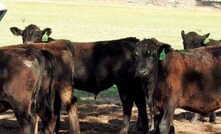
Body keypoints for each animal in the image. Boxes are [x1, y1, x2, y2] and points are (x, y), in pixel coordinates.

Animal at [10, 24, 148, 133]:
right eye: (23, 34)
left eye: (38, 34)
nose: (28, 44)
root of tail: (132, 40)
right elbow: (56, 107)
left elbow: (56, 107)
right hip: (134, 83)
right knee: (141, 102)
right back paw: (141, 129)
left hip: (124, 83)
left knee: (128, 103)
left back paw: (124, 130)